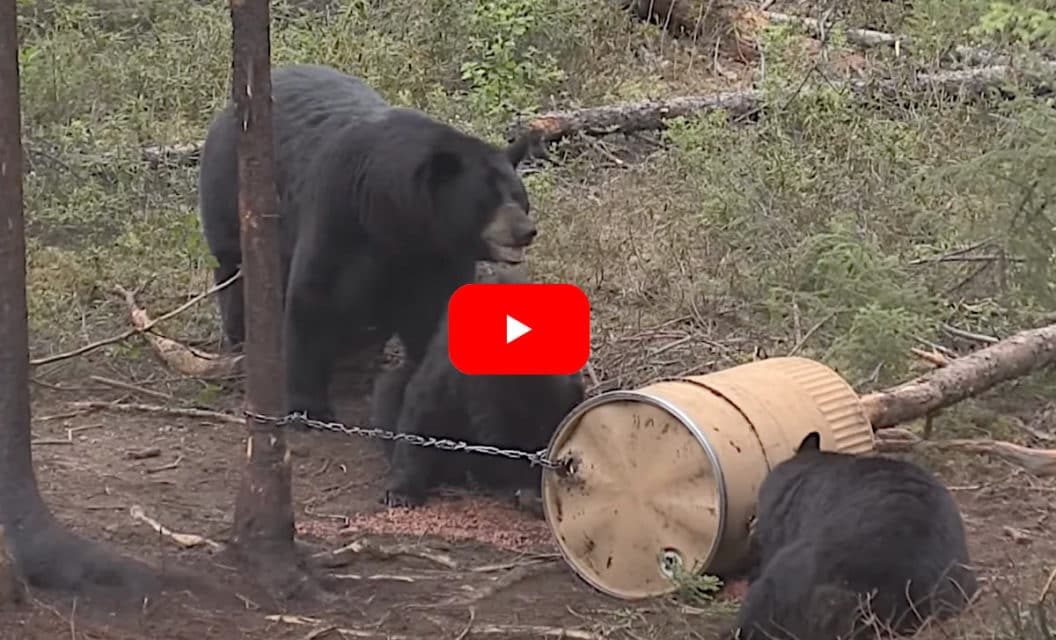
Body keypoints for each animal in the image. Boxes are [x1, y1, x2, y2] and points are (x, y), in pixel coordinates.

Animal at [198, 63, 540, 422]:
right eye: (486, 200)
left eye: (519, 197)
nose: (525, 230)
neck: (397, 219)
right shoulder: (340, 213)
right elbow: (315, 297)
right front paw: (309, 404)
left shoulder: (438, 255)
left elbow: (433, 315)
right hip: (231, 197)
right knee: (236, 273)